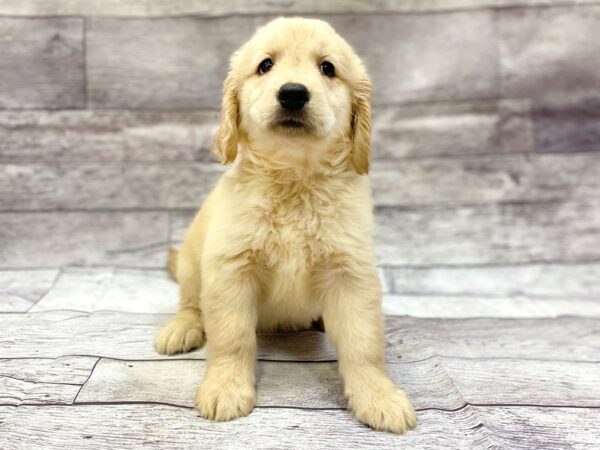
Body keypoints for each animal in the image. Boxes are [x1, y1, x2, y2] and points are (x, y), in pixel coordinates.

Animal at [155, 16, 418, 432]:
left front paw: (379, 396)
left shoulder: (351, 273)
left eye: (327, 68)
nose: (293, 93)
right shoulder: (231, 269)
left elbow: (363, 344)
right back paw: (182, 328)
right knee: (191, 302)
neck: (295, 179)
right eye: (265, 65)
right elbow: (232, 337)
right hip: (194, 260)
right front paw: (225, 388)